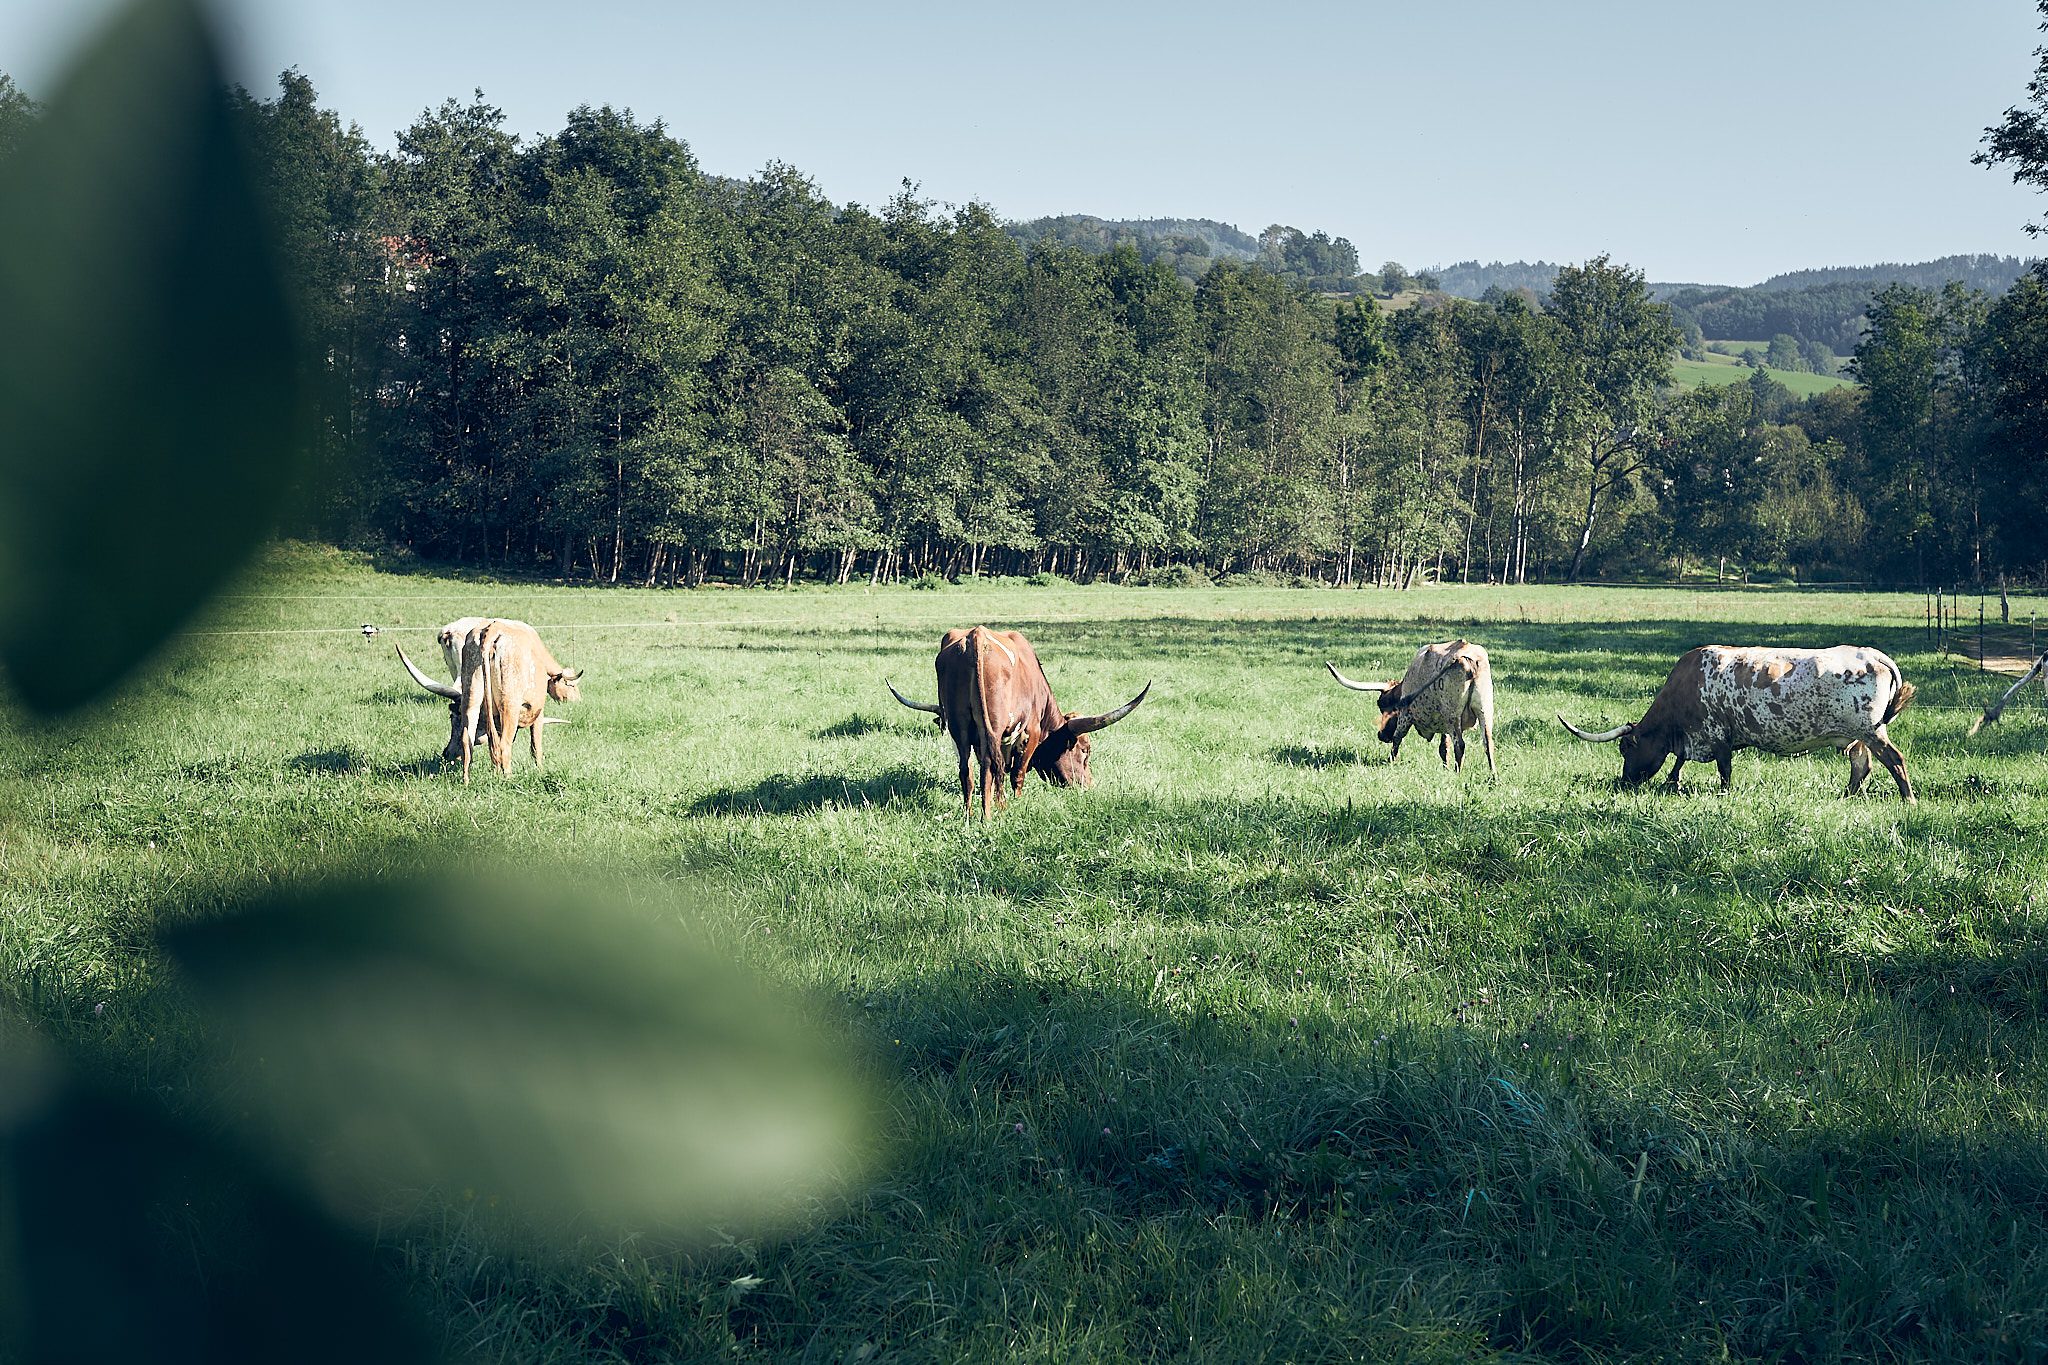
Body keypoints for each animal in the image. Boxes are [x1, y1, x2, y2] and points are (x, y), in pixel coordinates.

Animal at [395, 618, 581, 777]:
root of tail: (490, 632)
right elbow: (536, 746)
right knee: (504, 745)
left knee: (469, 741)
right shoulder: (537, 712)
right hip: (509, 705)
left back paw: (466, 781)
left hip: (471, 695)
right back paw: (508, 779)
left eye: (453, 719)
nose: (447, 753)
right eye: (571, 686)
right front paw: (540, 772)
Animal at [888, 630, 1155, 822]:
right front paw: (1014, 802)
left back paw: (970, 813)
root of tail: (977, 636)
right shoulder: (1031, 732)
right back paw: (990, 815)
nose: (1089, 786)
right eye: (1084, 751)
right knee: (990, 766)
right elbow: (1017, 772)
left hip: (958, 727)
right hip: (992, 726)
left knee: (968, 769)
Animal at [1318, 638, 1499, 773]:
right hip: (1484, 710)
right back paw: (1493, 777)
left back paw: (1458, 774)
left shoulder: (1405, 715)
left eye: (1382, 705)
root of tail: (1468, 657)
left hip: (1452, 714)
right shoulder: (1443, 723)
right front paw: (1445, 768)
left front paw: (1392, 761)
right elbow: (1444, 747)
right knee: (1488, 743)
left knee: (1460, 745)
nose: (1381, 736)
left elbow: (1397, 738)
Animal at [1564, 642, 1916, 802]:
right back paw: (1846, 796)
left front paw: (1723, 793)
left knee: (1895, 760)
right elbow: (1679, 761)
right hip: (1858, 736)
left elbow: (1724, 768)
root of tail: (1870, 654)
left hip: (1871, 730)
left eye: (1626, 749)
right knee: (1861, 765)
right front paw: (1672, 781)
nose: (1624, 783)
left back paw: (1908, 799)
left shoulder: (1718, 734)